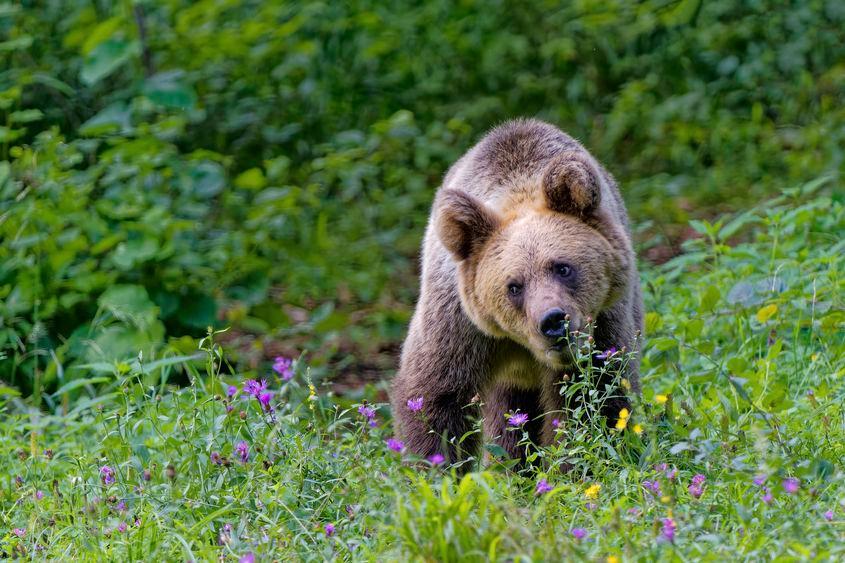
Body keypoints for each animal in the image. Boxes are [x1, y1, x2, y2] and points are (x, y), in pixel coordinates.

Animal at [392, 118, 644, 468]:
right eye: (514, 286)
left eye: (562, 267)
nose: (553, 321)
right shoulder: (459, 322)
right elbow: (436, 395)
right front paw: (438, 466)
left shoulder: (604, 318)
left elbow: (595, 393)